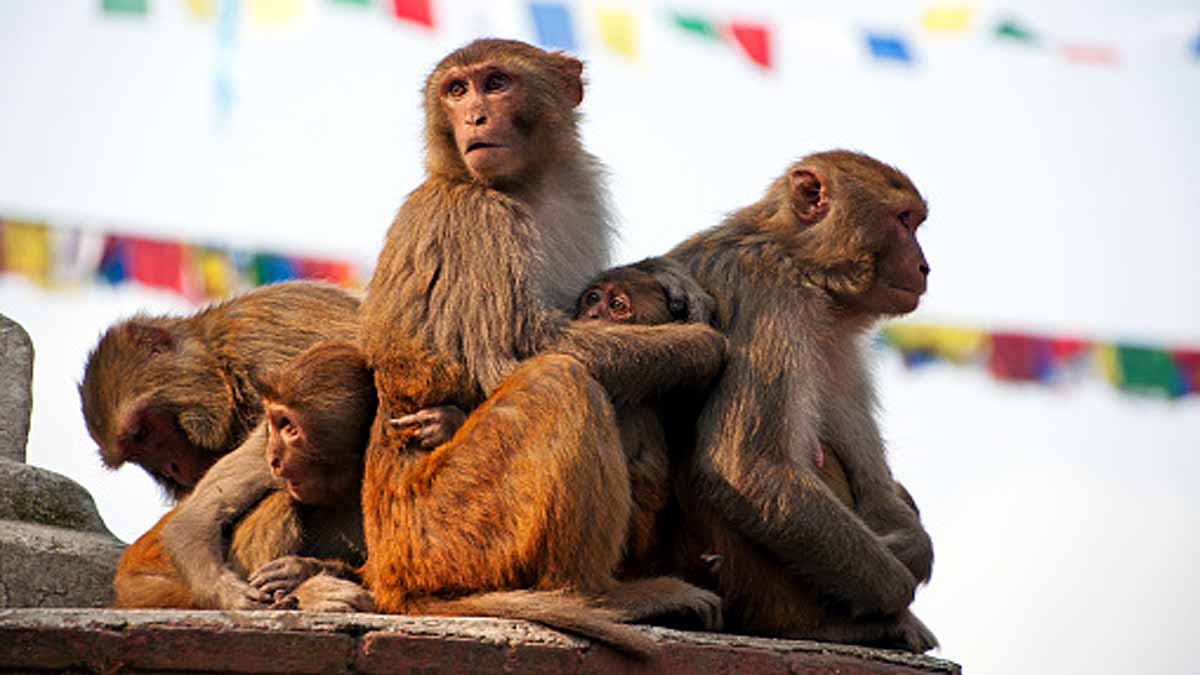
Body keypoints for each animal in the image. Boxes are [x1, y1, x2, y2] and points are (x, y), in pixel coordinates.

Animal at [154, 39, 728, 634]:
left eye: (495, 83)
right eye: (457, 90)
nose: (474, 116)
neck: (525, 186)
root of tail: (390, 575)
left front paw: (666, 276)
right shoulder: (481, 217)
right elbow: (516, 355)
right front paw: (700, 346)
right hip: (451, 532)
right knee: (560, 381)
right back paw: (603, 595)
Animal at [665, 150, 938, 652]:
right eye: (903, 220)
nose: (925, 266)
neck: (800, 263)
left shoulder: (839, 339)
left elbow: (874, 480)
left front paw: (913, 548)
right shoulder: (767, 297)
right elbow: (748, 466)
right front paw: (898, 589)